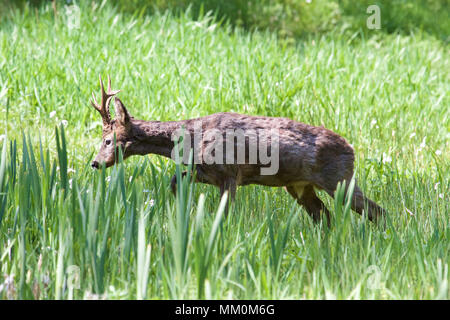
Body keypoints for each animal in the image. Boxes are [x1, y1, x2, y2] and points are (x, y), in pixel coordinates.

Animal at [90, 76, 384, 224]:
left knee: (376, 211)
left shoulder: (229, 174)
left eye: (107, 141)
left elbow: (226, 212)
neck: (192, 139)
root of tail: (352, 148)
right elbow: (174, 181)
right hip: (300, 186)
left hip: (339, 179)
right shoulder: (205, 172)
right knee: (326, 217)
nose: (94, 163)